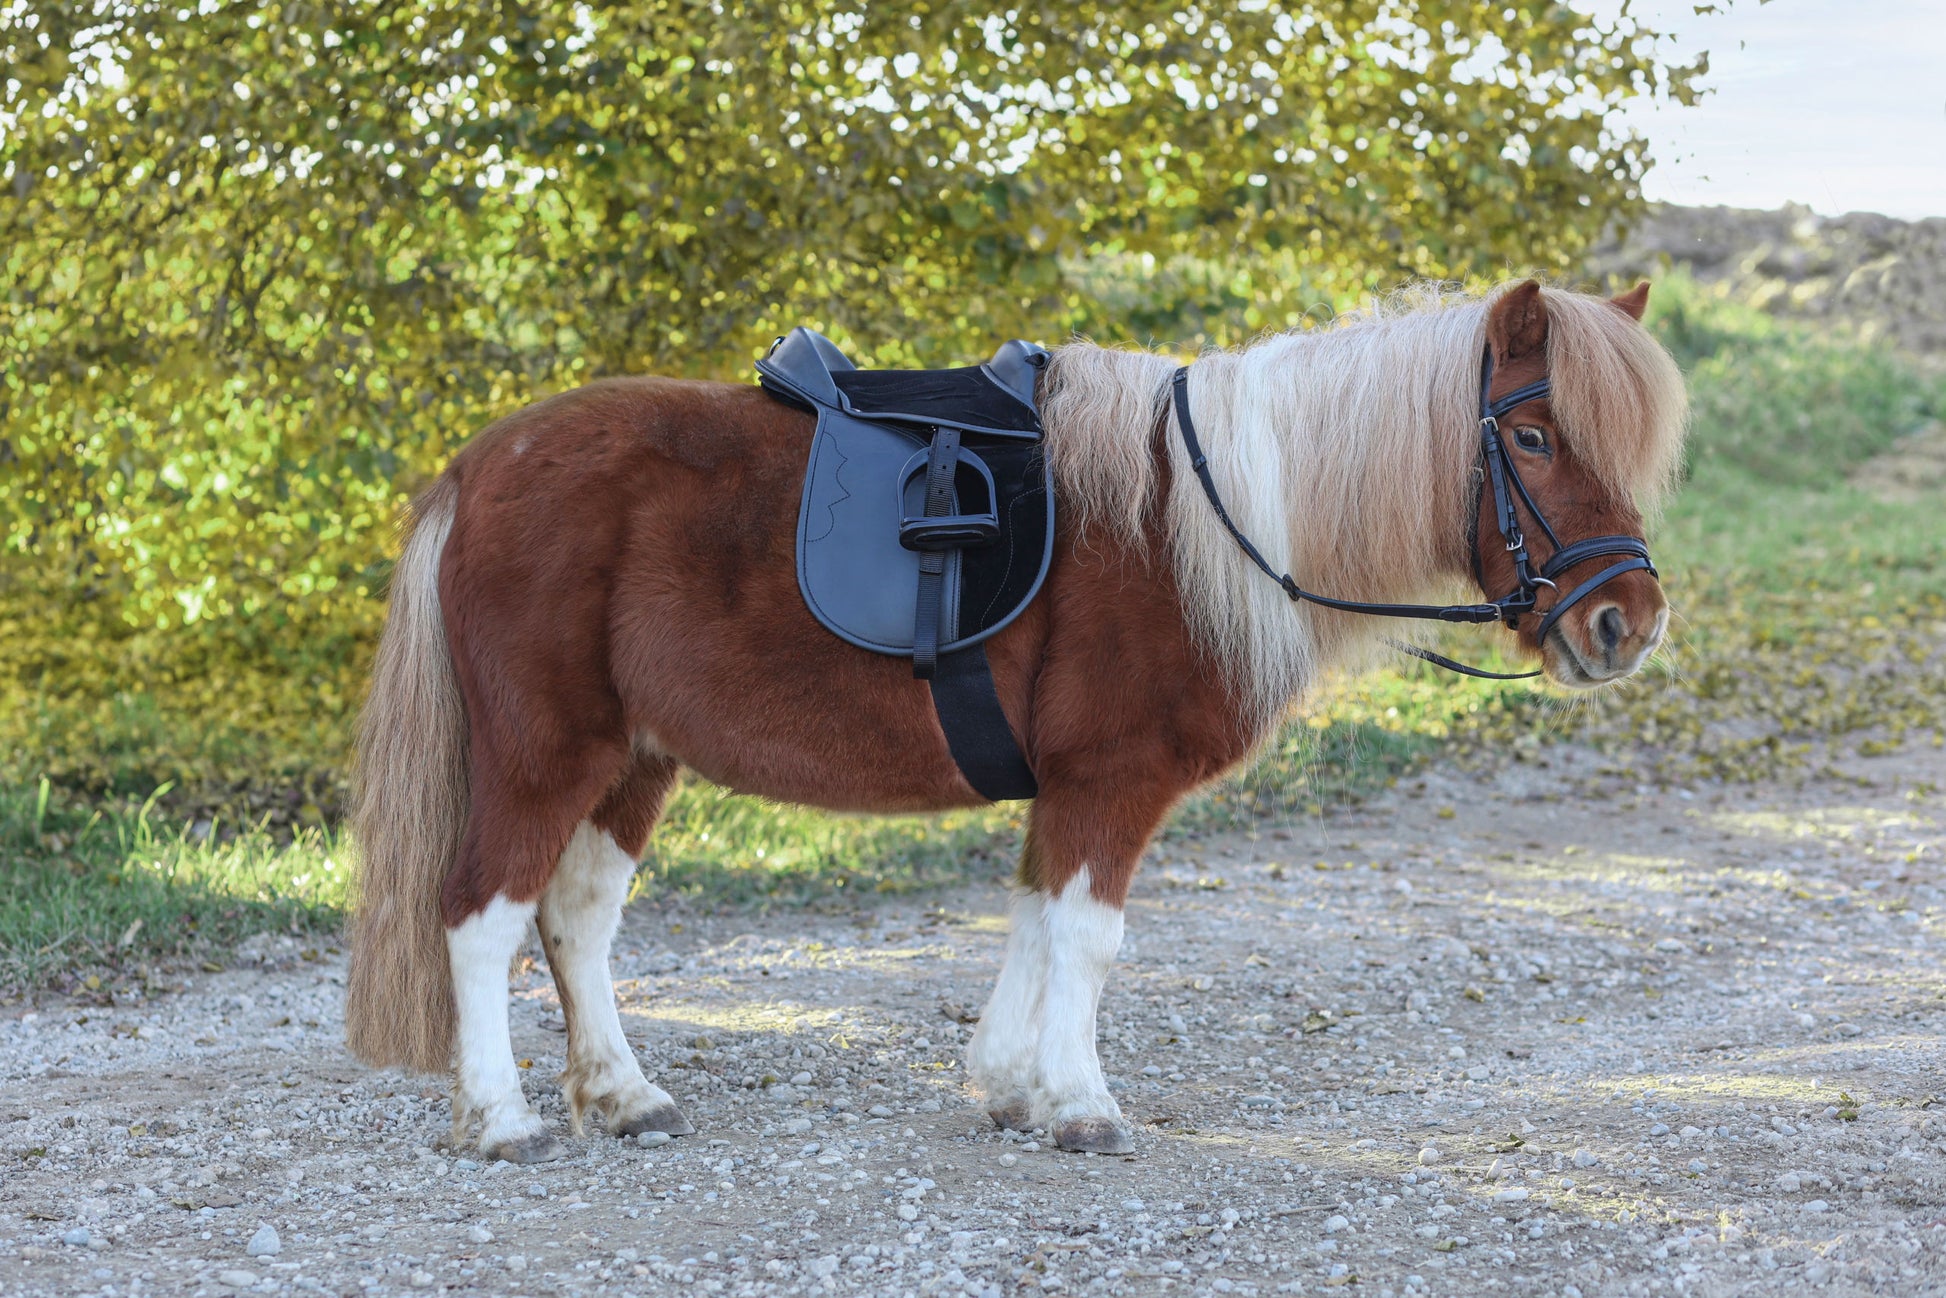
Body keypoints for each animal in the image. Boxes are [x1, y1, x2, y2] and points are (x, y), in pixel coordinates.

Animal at [343, 278, 1687, 1162]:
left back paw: (622, 1096)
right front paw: (1080, 1103)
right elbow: (1086, 937)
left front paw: (1008, 1083)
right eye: (1530, 433)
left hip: (634, 760)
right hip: (544, 753)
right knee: (480, 914)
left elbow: (1037, 919)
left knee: (574, 919)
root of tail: (477, 467)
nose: (1623, 621)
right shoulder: (1111, 778)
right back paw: (500, 1117)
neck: (1196, 522)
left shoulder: (1069, 786)